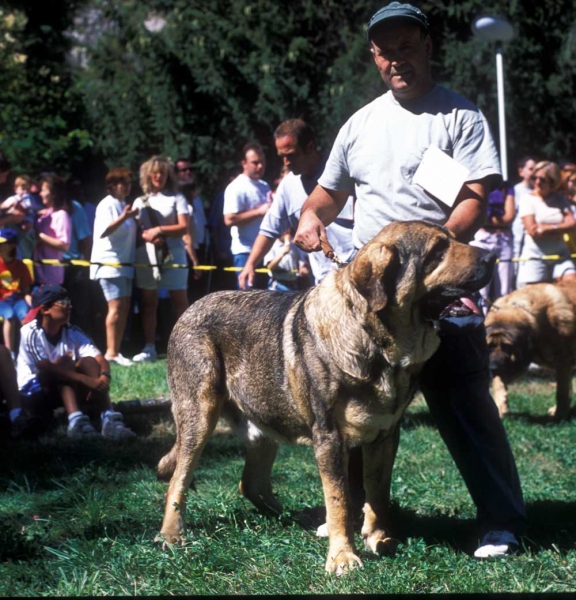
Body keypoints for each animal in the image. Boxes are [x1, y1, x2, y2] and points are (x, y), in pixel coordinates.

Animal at [156, 219, 496, 572]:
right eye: (437, 250)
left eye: (453, 240)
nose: (492, 258)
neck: (377, 340)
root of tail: (191, 307)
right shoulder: (330, 438)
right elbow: (339, 500)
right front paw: (343, 557)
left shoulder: (385, 435)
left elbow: (377, 491)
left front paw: (379, 539)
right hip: (200, 416)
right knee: (178, 479)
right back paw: (171, 535)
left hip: (263, 424)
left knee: (251, 483)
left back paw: (296, 519)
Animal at [486, 280, 576, 418]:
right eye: (489, 347)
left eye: (507, 347)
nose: (493, 367)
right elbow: (498, 384)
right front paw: (501, 408)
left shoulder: (563, 362)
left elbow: (562, 392)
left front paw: (559, 414)